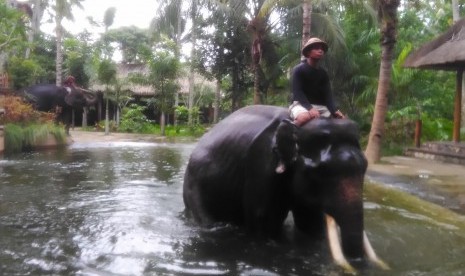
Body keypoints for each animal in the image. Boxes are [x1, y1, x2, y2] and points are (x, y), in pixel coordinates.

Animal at [182, 104, 388, 272]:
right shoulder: (261, 165)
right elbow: (264, 222)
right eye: (321, 172)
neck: (295, 126)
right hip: (193, 185)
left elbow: (310, 223)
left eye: (365, 167)